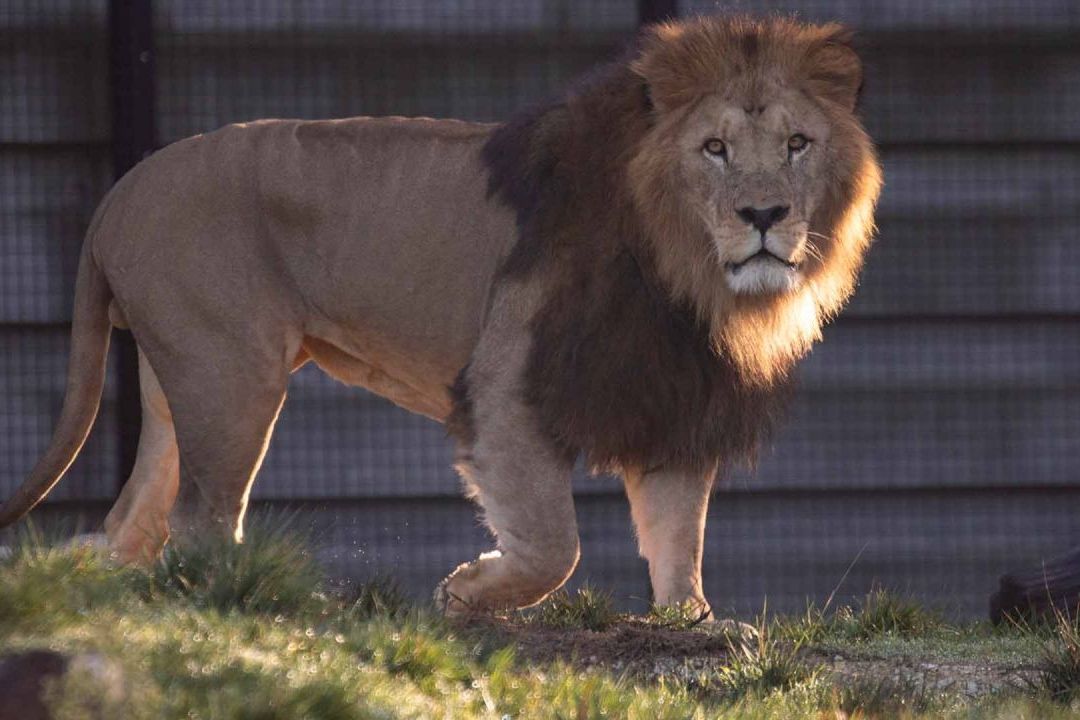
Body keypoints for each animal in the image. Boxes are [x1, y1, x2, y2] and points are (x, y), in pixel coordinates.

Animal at [0, 15, 880, 617]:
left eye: (798, 143)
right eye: (715, 149)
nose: (764, 215)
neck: (685, 272)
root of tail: (120, 191)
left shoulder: (668, 392)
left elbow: (677, 535)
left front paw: (691, 622)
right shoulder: (508, 384)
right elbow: (553, 545)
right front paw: (467, 590)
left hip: (177, 380)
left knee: (132, 524)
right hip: (232, 378)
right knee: (202, 522)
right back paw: (272, 603)